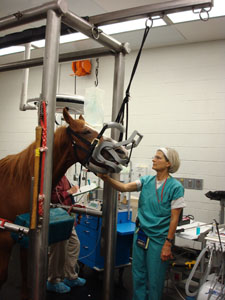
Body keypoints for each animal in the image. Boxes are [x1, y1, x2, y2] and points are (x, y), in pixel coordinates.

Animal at [0, 107, 126, 298]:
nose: (122, 152)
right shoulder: (6, 239)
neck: (21, 183)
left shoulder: (25, 240)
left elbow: (26, 281)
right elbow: (4, 276)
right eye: (86, 131)